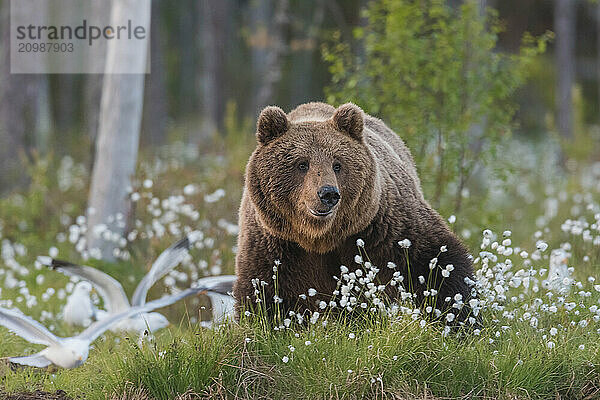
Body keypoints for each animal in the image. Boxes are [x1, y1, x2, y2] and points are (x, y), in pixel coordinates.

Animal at [234, 101, 478, 324]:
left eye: (337, 164)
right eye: (302, 164)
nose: (328, 194)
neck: (319, 238)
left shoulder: (382, 227)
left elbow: (436, 260)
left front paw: (461, 318)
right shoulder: (275, 243)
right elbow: (263, 290)